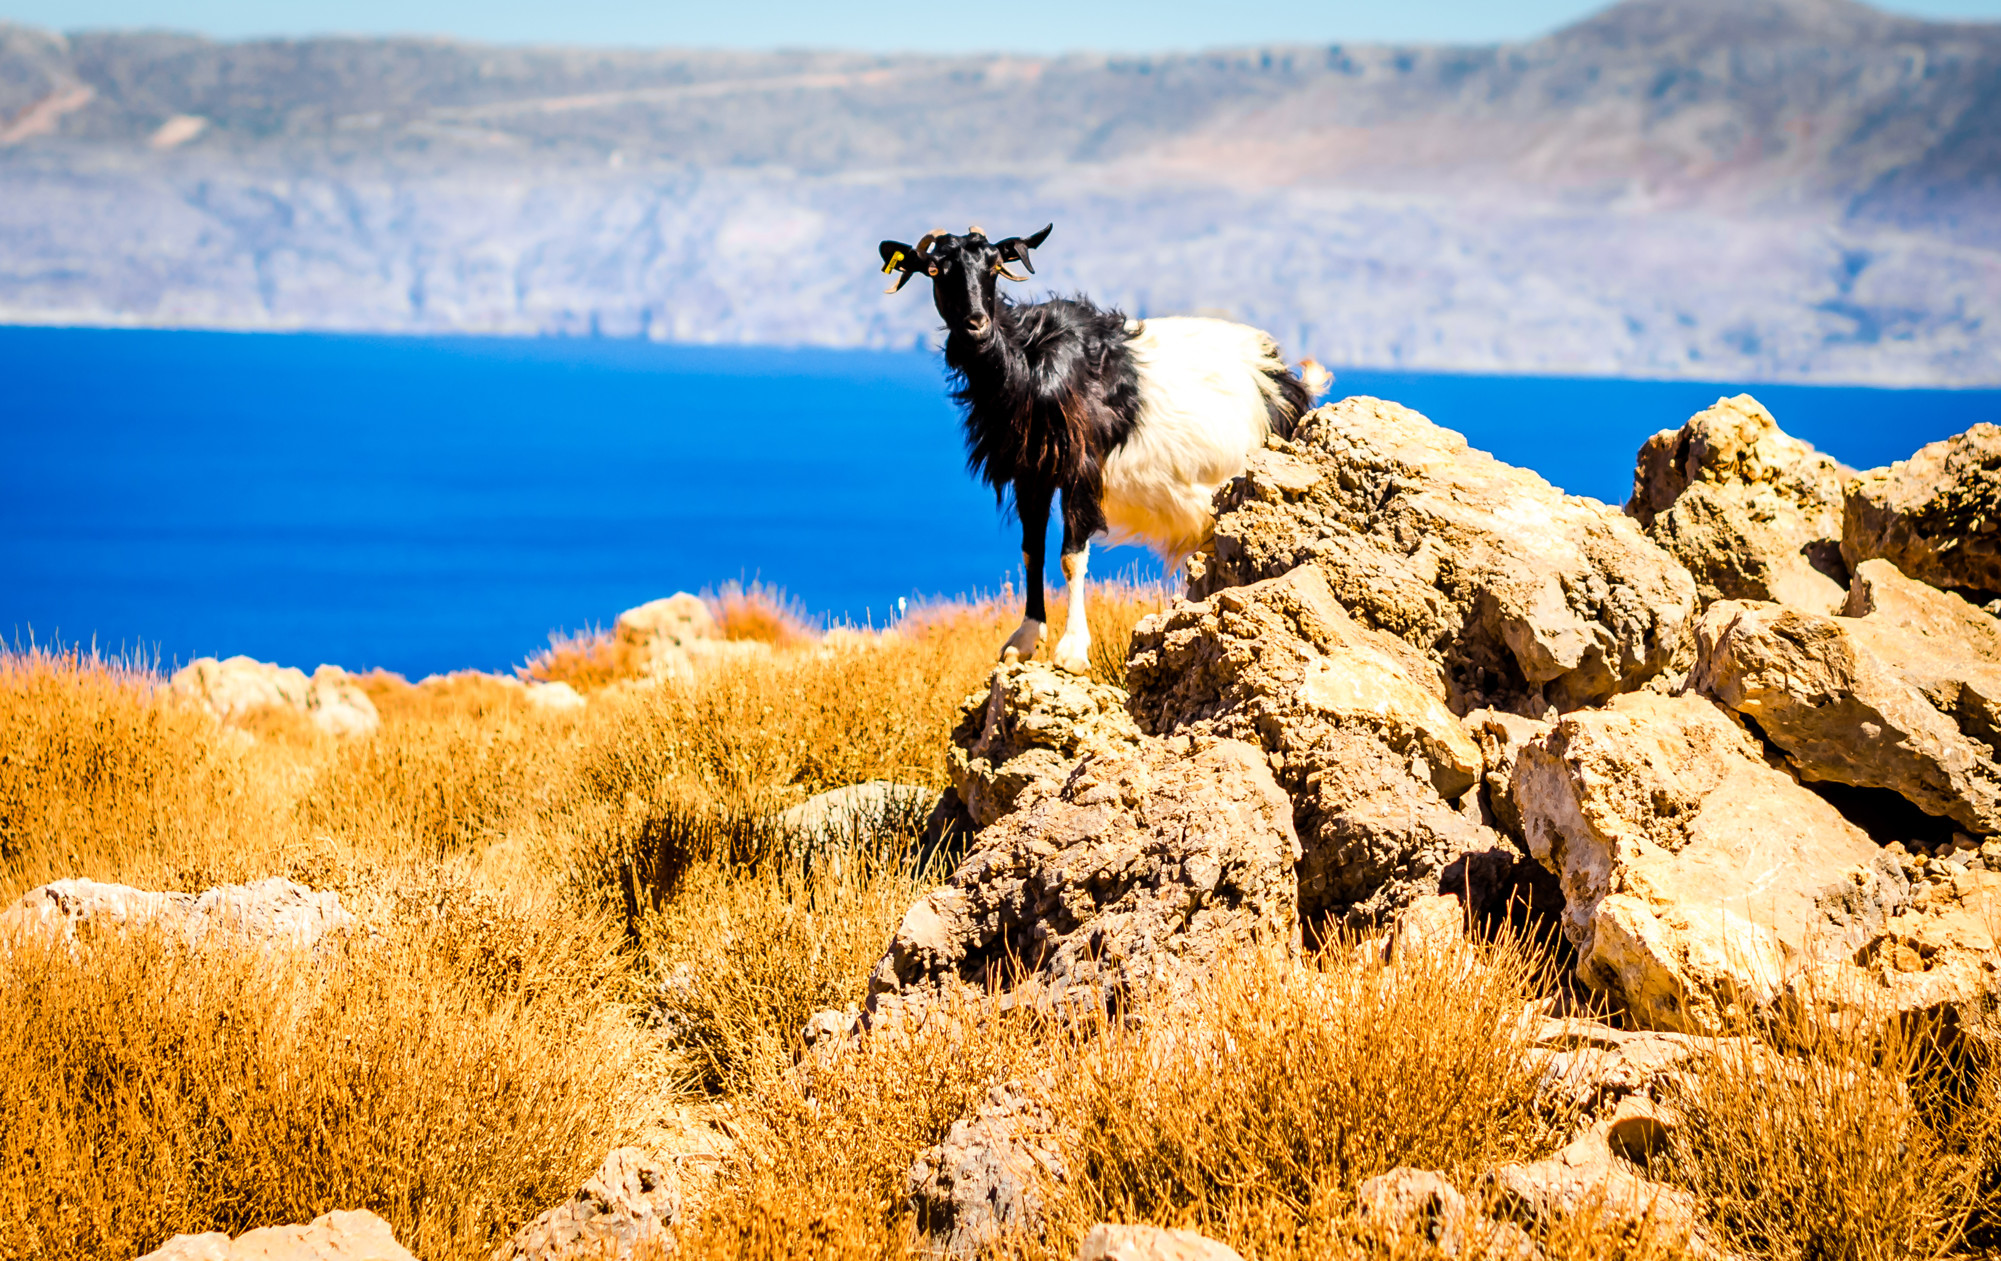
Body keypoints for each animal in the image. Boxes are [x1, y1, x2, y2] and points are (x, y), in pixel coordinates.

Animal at [880, 223, 1319, 673]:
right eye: (936, 269)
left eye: (995, 266)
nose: (977, 325)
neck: (1028, 364)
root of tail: (1284, 377)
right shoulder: (1031, 471)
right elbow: (1031, 550)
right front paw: (1024, 639)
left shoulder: (1081, 467)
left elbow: (1071, 556)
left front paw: (1072, 651)